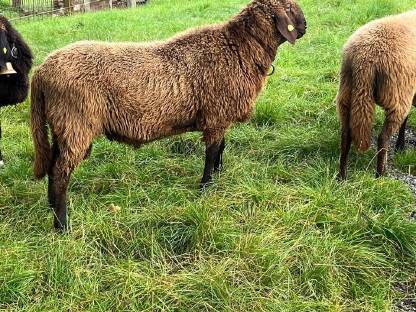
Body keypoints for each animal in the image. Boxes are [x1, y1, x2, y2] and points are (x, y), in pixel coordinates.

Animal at [30, 0, 308, 230]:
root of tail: (41, 72)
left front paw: (217, 178)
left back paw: (51, 207)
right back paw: (62, 225)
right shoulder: (216, 114)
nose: (306, 25)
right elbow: (211, 153)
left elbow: (221, 148)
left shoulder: (220, 115)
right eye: (289, 7)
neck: (238, 48)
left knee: (53, 165)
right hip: (75, 123)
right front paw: (205, 188)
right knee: (60, 173)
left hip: (62, 126)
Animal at [338, 10, 416, 180]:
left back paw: (342, 176)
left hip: (346, 93)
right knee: (383, 138)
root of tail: (365, 59)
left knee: (346, 135)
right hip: (397, 97)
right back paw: (380, 175)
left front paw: (401, 146)